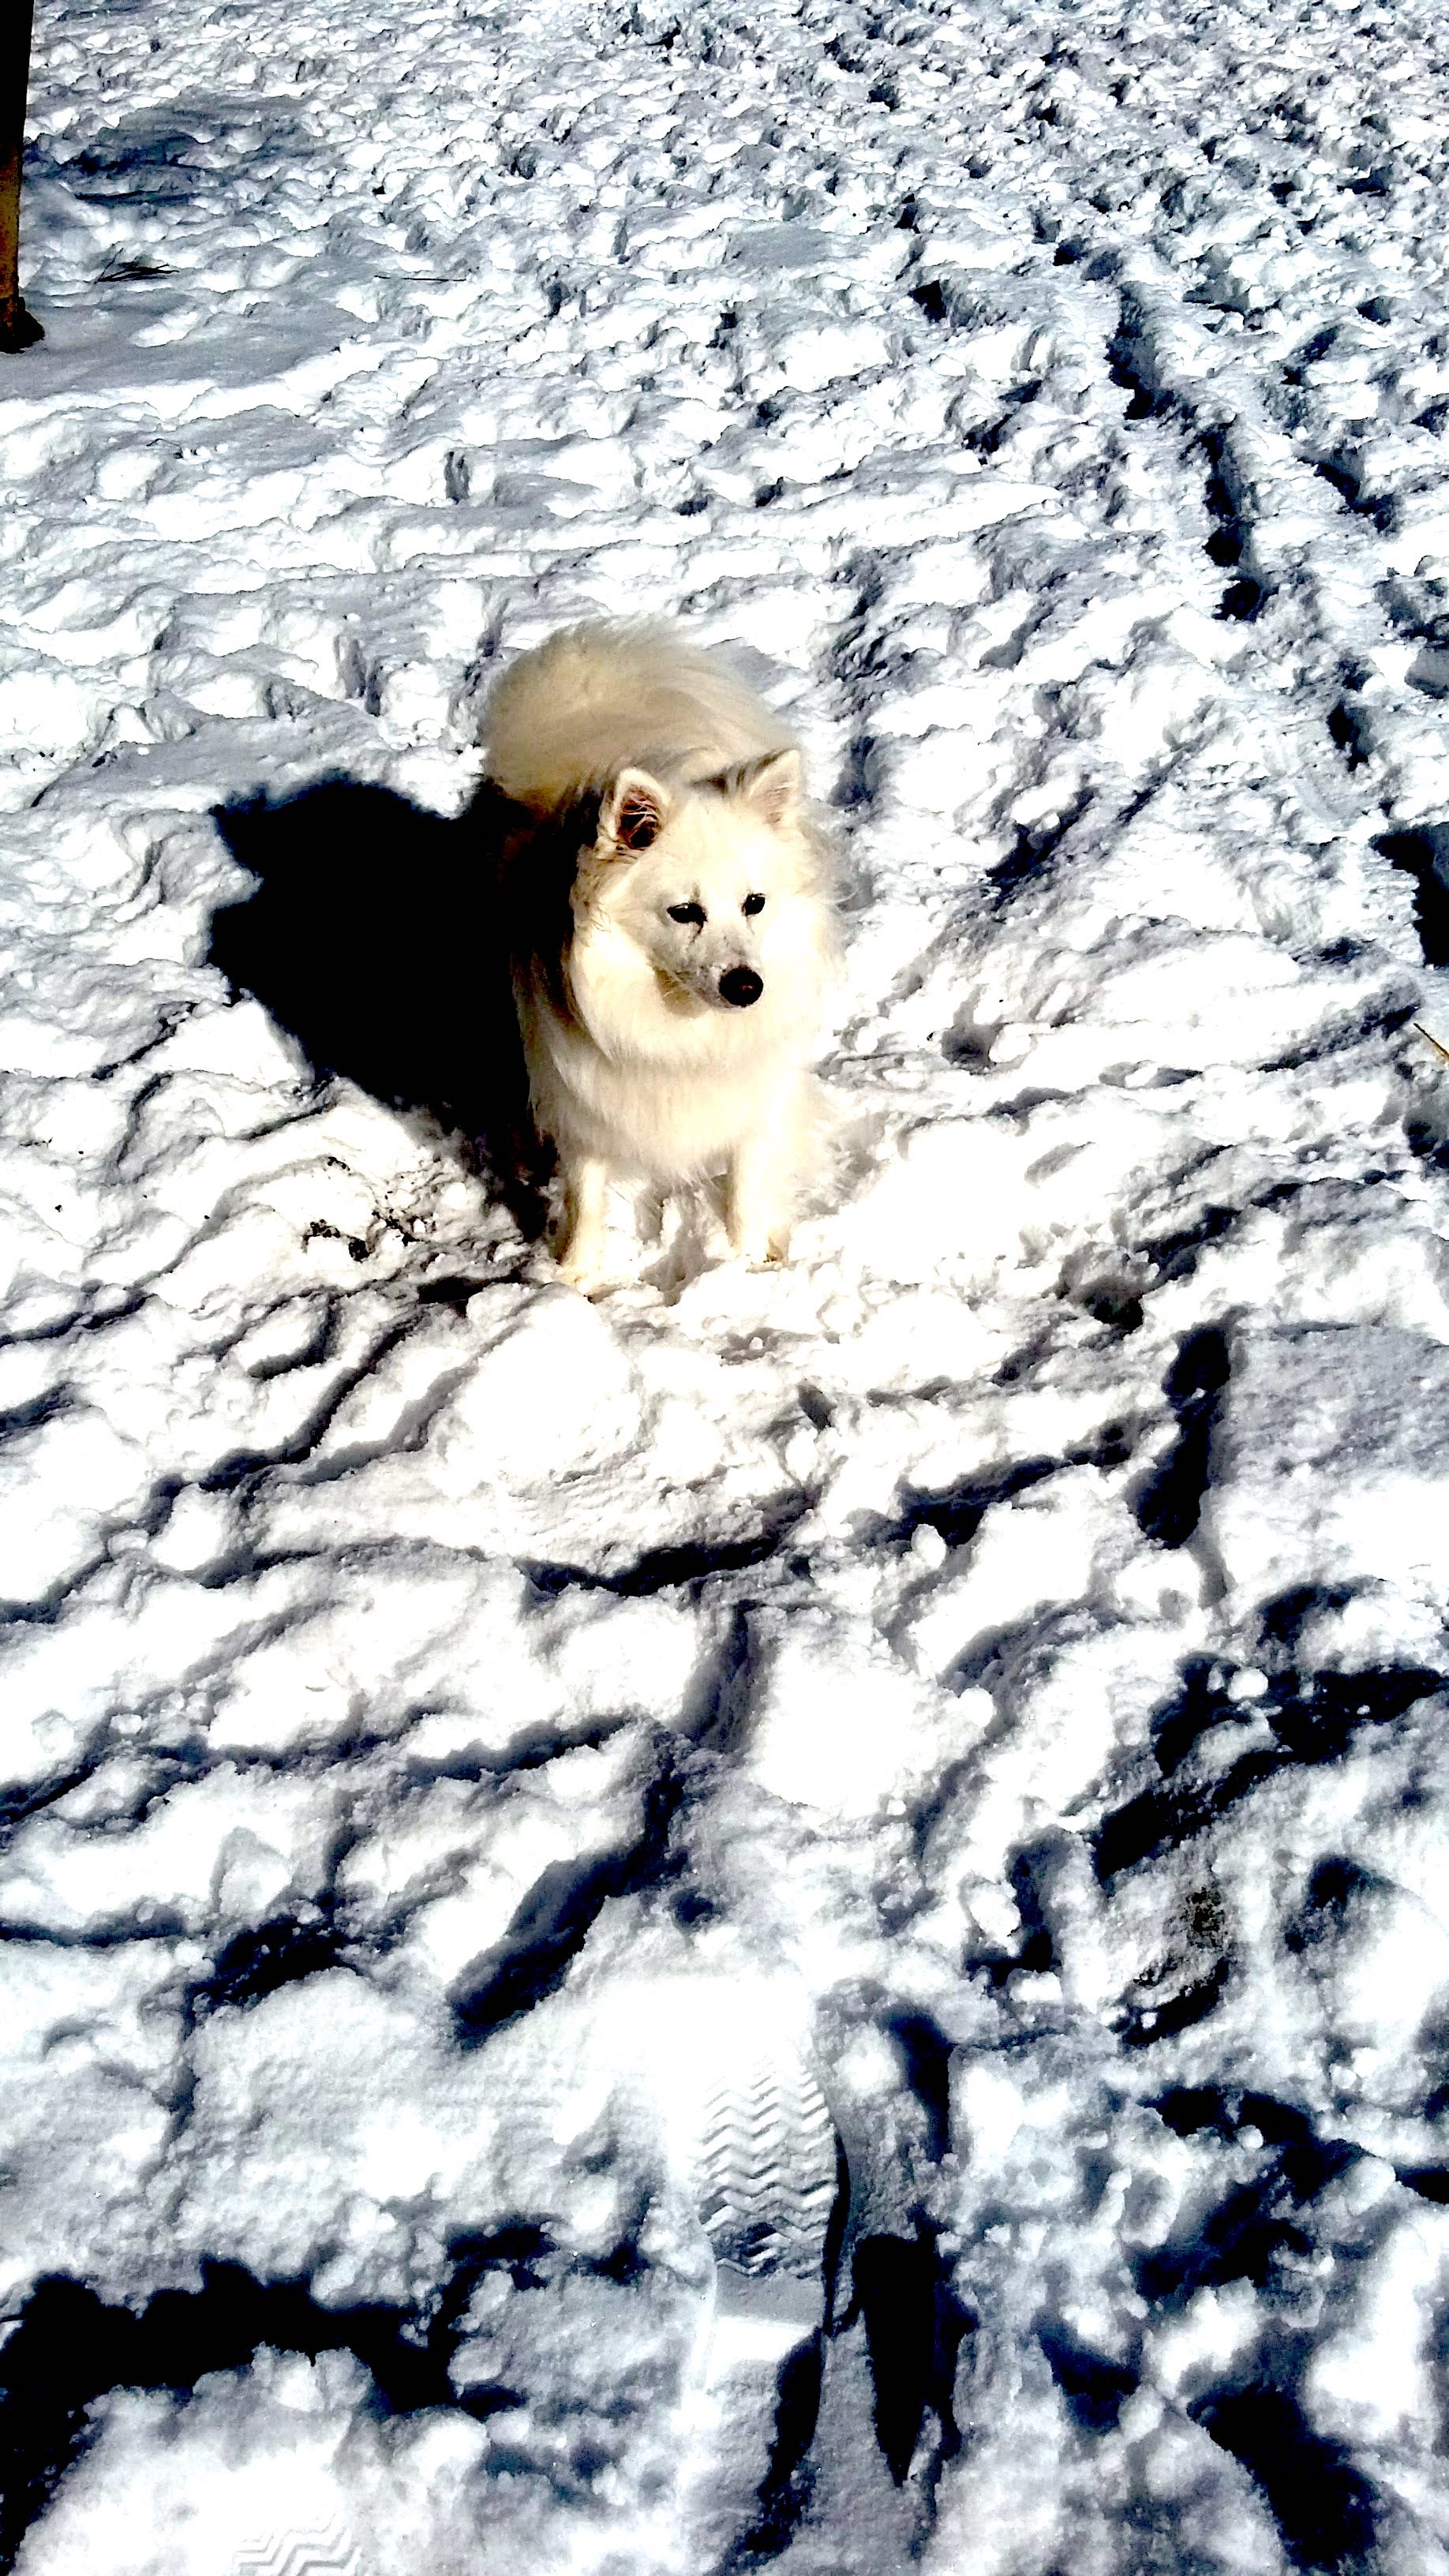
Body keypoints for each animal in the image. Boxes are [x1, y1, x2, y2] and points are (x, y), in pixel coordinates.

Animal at [477, 623, 829, 1288]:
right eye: (684, 912)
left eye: (754, 903)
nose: (747, 987)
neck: (681, 1033)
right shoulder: (585, 1102)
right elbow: (586, 1194)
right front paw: (574, 1279)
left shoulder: (754, 1099)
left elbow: (745, 1185)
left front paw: (748, 1263)